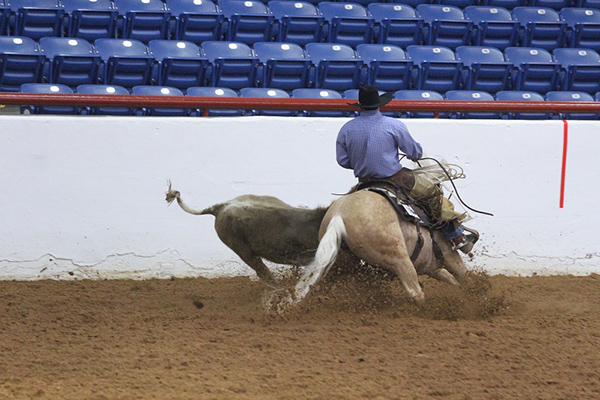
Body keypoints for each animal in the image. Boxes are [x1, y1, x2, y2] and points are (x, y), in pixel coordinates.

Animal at [282, 189, 468, 308]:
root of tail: (338, 216)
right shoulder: (447, 253)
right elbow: (461, 273)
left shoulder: (430, 265)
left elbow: (450, 277)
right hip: (398, 258)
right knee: (415, 291)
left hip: (341, 262)